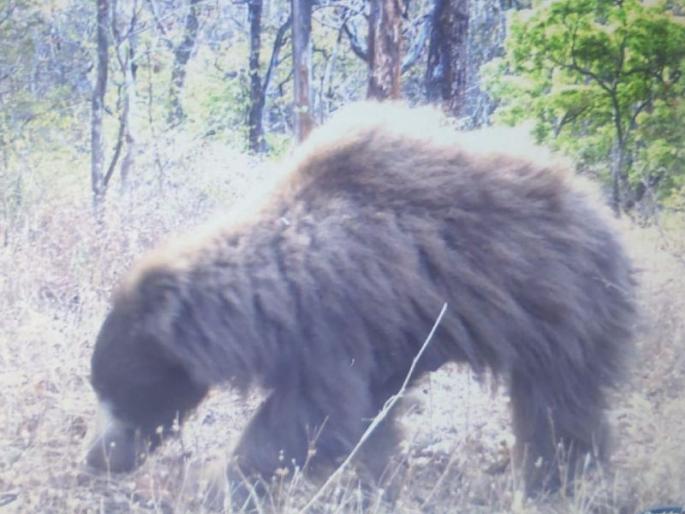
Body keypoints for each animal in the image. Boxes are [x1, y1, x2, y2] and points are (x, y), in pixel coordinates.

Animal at [86, 102, 636, 500]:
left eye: (113, 391)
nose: (95, 457)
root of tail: (595, 204)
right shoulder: (381, 339)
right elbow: (370, 414)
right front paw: (370, 482)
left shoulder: (333, 322)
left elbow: (313, 418)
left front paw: (226, 483)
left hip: (561, 304)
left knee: (557, 403)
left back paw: (557, 479)